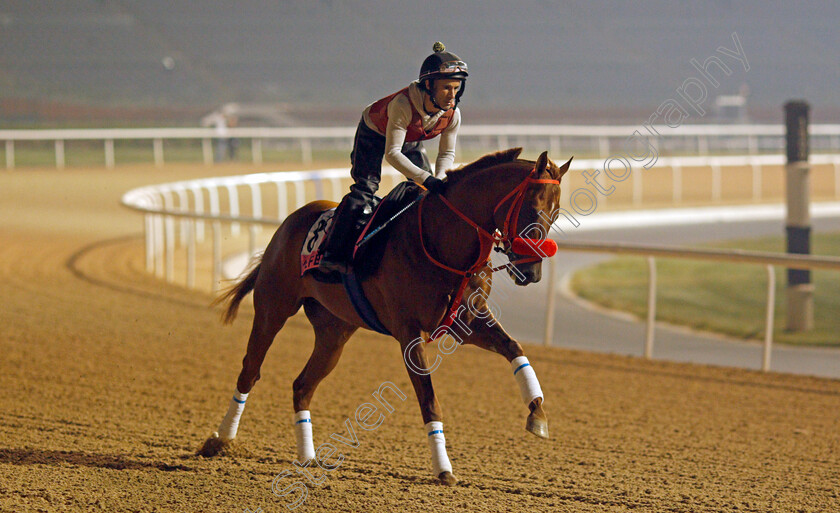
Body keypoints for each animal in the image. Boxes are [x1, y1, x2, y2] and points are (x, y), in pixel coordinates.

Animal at [202, 147, 572, 484]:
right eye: (533, 209)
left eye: (555, 215)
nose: (532, 272)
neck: (441, 241)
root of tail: (292, 221)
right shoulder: (408, 332)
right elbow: (428, 399)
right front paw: (443, 468)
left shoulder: (465, 322)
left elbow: (515, 349)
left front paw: (538, 413)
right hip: (272, 308)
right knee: (250, 372)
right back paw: (221, 440)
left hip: (334, 332)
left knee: (302, 385)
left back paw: (307, 458)